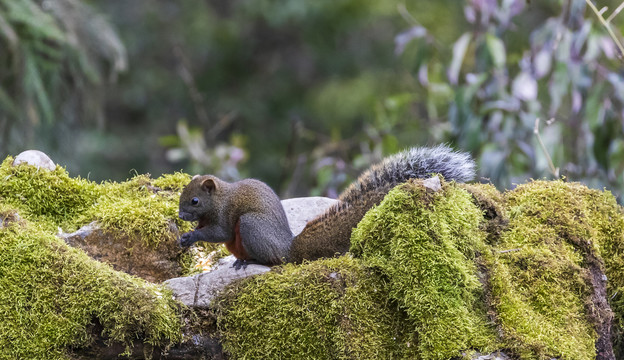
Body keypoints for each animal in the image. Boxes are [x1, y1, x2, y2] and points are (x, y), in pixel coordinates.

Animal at [178, 146, 476, 268]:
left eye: (195, 201)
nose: (180, 215)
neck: (218, 198)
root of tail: (289, 249)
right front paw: (184, 237)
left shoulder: (225, 214)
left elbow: (220, 233)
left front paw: (192, 235)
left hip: (252, 226)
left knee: (271, 260)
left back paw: (249, 261)